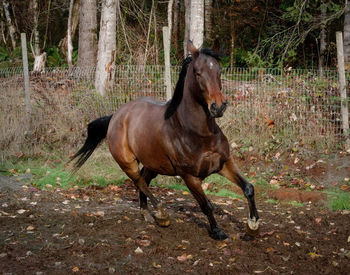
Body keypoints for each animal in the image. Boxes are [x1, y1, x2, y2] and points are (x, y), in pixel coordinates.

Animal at [72, 41, 260, 242]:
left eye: (219, 71)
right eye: (198, 72)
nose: (218, 107)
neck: (198, 133)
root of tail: (116, 116)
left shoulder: (224, 163)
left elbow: (248, 188)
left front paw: (253, 226)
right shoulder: (190, 177)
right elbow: (206, 205)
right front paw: (218, 232)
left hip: (153, 164)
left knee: (144, 181)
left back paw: (146, 213)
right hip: (127, 163)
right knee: (140, 182)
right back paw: (162, 215)